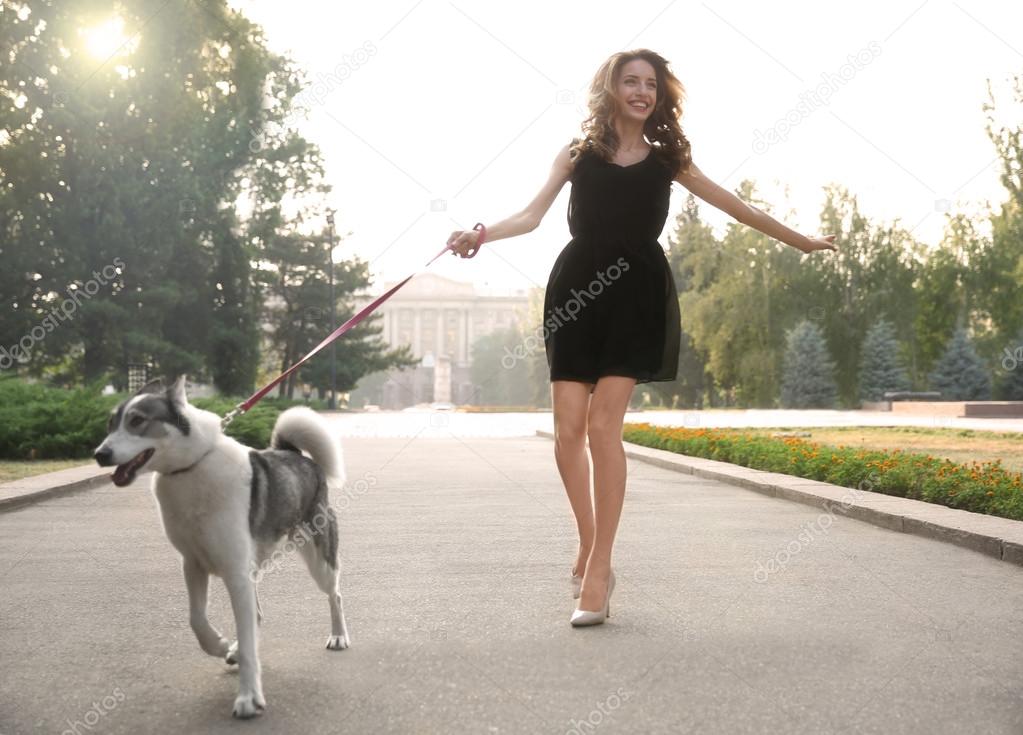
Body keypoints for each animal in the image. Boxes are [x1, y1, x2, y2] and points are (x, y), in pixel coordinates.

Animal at [96, 376, 351, 720]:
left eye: (137, 421)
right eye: (111, 424)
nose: (100, 454)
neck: (190, 469)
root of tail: (295, 454)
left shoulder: (235, 573)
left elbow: (246, 638)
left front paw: (248, 698)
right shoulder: (193, 564)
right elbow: (197, 620)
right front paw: (220, 646)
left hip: (319, 560)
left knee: (334, 595)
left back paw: (338, 636)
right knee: (256, 615)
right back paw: (234, 650)